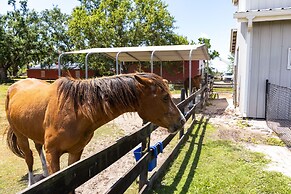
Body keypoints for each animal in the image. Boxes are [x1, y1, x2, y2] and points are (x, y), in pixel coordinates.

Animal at [4, 73, 185, 186]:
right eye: (165, 97)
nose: (182, 120)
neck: (75, 111)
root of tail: (14, 86)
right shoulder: (53, 154)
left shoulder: (75, 154)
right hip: (20, 135)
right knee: (29, 158)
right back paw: (31, 182)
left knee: (37, 147)